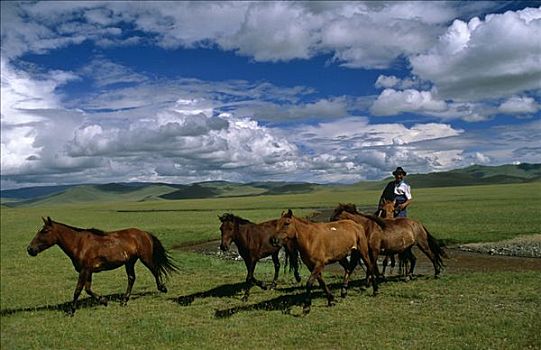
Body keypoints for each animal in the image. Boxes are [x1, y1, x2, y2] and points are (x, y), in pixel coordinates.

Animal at [27, 217, 177, 316]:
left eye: (45, 231)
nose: (30, 249)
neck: (79, 244)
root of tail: (144, 233)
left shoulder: (84, 270)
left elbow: (78, 290)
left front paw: (71, 311)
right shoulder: (88, 271)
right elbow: (88, 289)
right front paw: (103, 301)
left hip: (145, 258)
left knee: (155, 270)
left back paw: (162, 288)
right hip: (129, 262)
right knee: (131, 278)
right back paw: (124, 300)